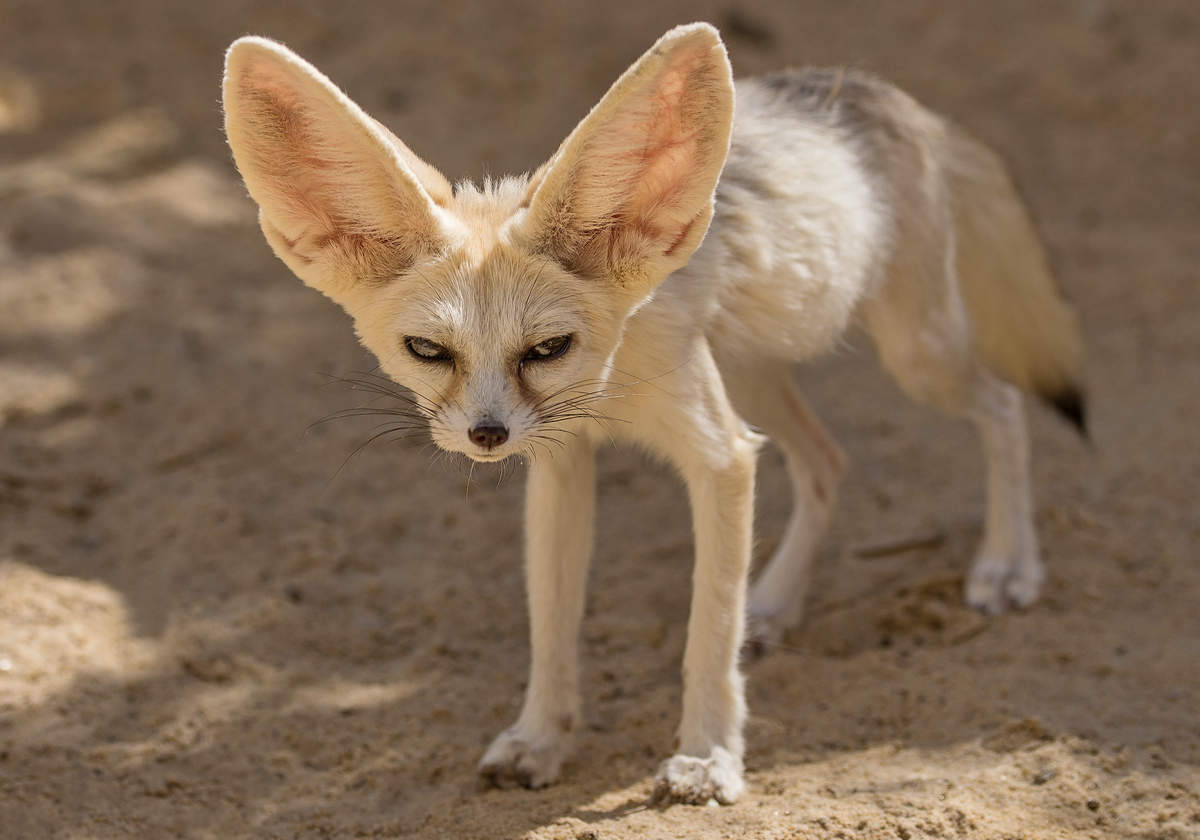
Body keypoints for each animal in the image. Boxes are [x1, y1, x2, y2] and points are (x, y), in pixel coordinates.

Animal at [220, 22, 1084, 801]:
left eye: (549, 348)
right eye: (428, 350)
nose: (487, 436)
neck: (607, 389)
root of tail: (880, 93)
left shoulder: (720, 460)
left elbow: (707, 631)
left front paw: (707, 757)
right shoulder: (560, 466)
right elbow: (552, 625)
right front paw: (541, 737)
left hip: (915, 355)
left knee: (1003, 406)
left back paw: (1006, 564)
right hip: (756, 378)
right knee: (830, 463)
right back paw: (774, 604)